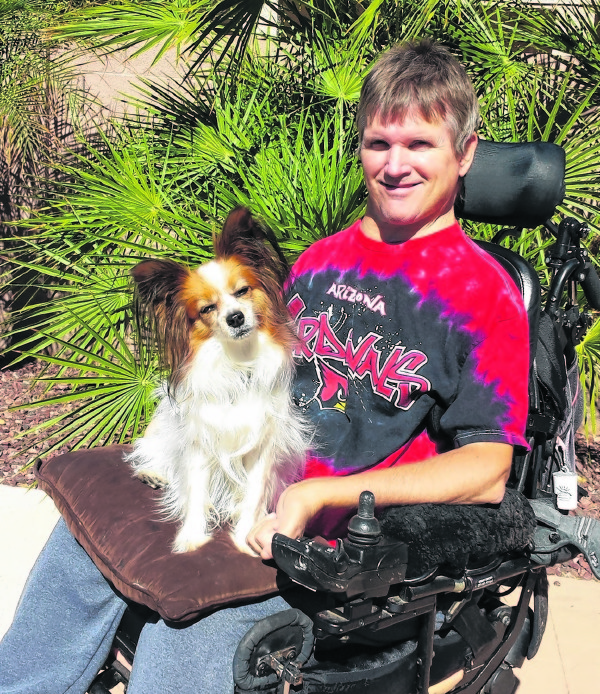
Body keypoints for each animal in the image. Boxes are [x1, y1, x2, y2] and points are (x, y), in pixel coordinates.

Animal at [129, 207, 312, 556]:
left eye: (242, 291)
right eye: (207, 309)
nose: (235, 318)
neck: (237, 363)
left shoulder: (262, 445)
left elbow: (254, 495)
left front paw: (244, 540)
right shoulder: (201, 441)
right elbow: (196, 491)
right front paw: (191, 538)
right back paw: (153, 474)